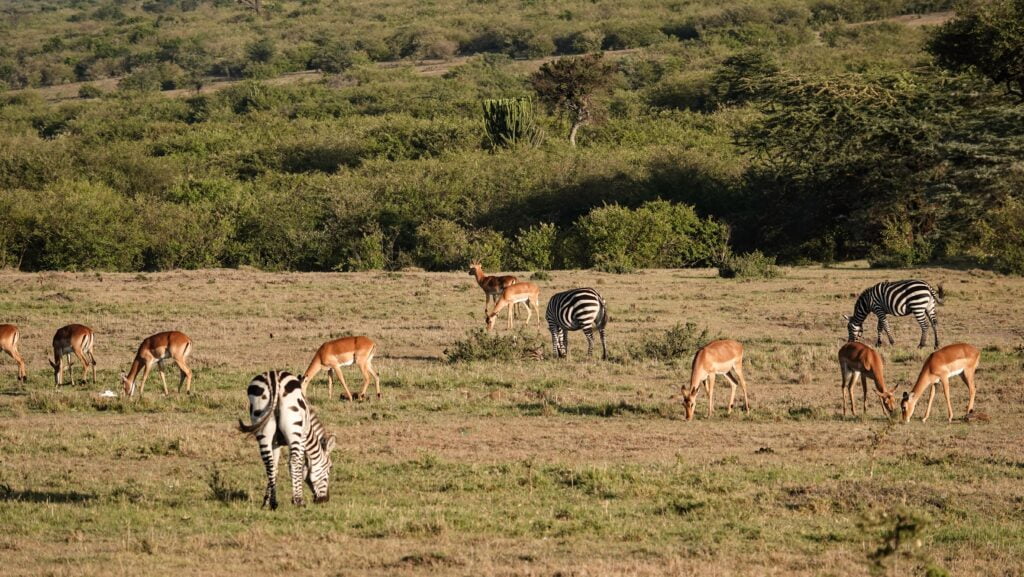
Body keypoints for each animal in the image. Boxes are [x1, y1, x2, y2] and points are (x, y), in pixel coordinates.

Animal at [238, 371, 335, 510]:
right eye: (330, 468)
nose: (325, 500)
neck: (310, 430)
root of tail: (274, 377)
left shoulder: (275, 443)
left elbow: (275, 468)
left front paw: (267, 501)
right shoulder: (303, 437)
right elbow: (297, 465)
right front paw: (296, 498)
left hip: (262, 425)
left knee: (268, 462)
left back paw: (274, 503)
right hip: (294, 428)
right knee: (293, 461)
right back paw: (299, 501)